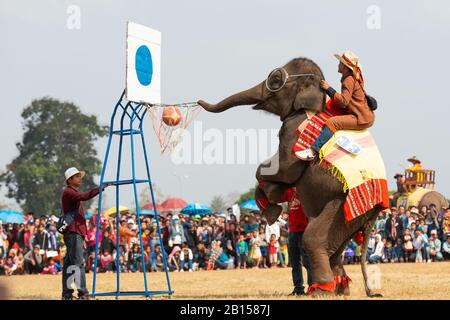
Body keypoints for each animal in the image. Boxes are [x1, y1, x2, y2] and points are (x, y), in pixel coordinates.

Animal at [199, 57, 384, 298]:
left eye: (275, 79)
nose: (198, 101)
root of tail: (377, 208)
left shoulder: (292, 129)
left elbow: (285, 169)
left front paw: (272, 203)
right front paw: (274, 197)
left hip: (341, 206)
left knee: (313, 239)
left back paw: (320, 291)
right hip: (353, 218)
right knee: (335, 247)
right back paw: (340, 290)